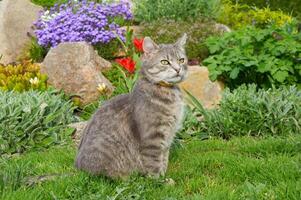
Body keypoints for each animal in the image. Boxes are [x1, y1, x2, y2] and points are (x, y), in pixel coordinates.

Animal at [75, 33, 188, 179]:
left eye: (181, 60)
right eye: (165, 62)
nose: (178, 69)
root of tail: (78, 170)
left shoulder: (168, 136)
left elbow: (164, 159)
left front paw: (164, 175)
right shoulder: (152, 137)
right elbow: (154, 163)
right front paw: (160, 181)